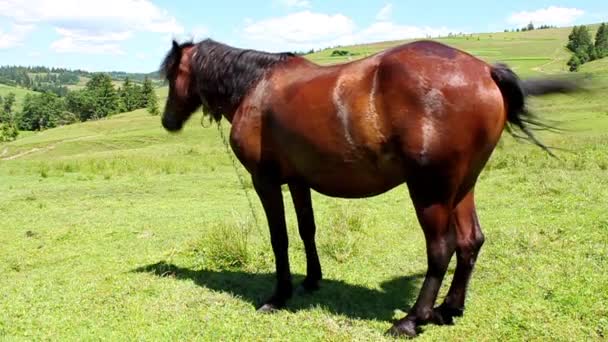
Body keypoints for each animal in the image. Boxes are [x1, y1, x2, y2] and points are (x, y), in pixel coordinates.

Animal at [159, 38, 580, 336]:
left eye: (170, 75)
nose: (167, 121)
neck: (256, 87)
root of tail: (485, 70)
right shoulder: (298, 181)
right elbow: (307, 229)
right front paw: (312, 279)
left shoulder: (266, 181)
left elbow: (280, 237)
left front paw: (279, 296)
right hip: (462, 187)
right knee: (469, 242)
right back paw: (449, 309)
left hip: (429, 191)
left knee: (441, 248)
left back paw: (412, 319)